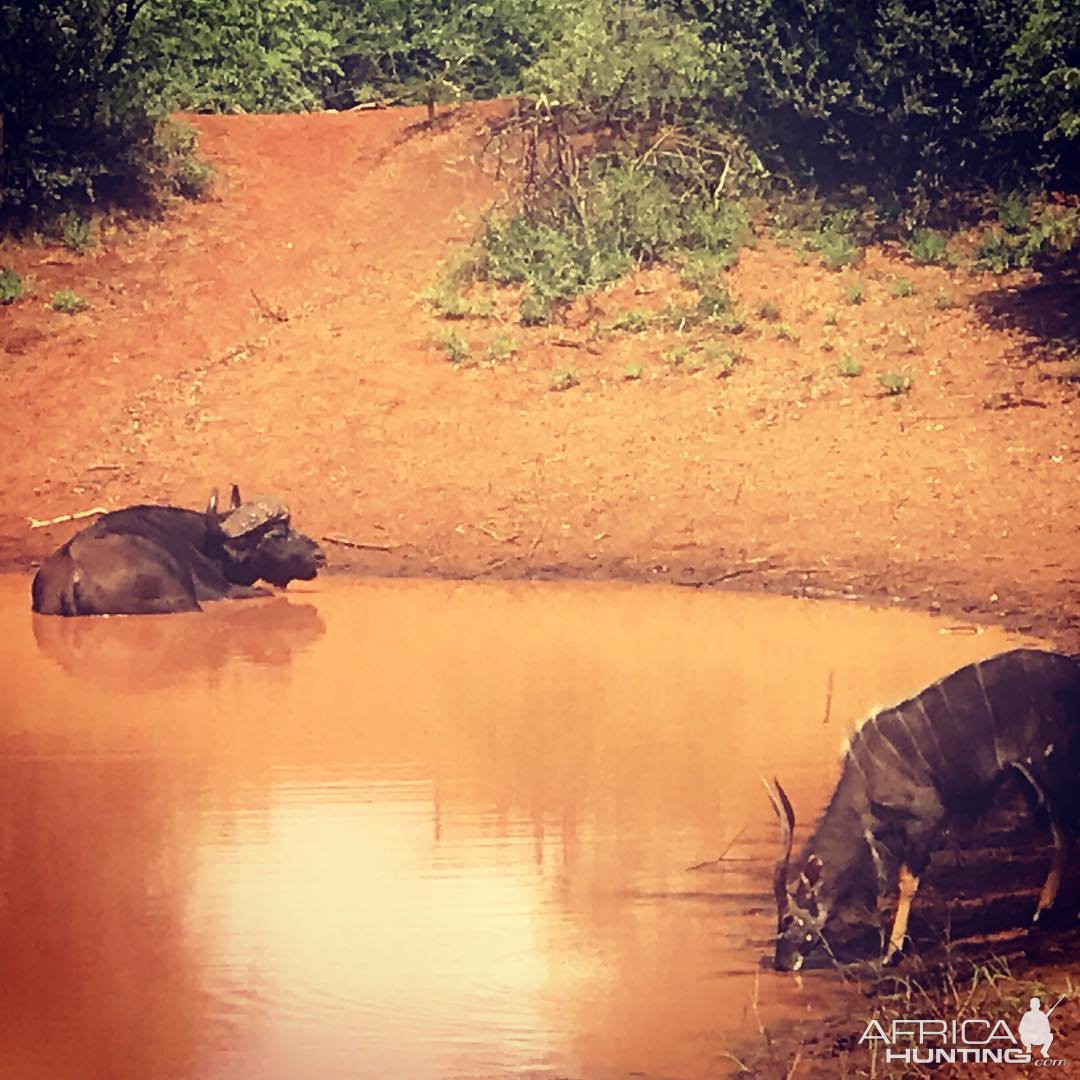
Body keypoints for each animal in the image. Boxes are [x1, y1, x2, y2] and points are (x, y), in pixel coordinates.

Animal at [768, 648, 1080, 972]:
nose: (780, 963)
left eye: (788, 918)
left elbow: (907, 880)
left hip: (1050, 763)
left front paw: (892, 952)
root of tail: (1072, 672)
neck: (864, 784)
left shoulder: (926, 816)